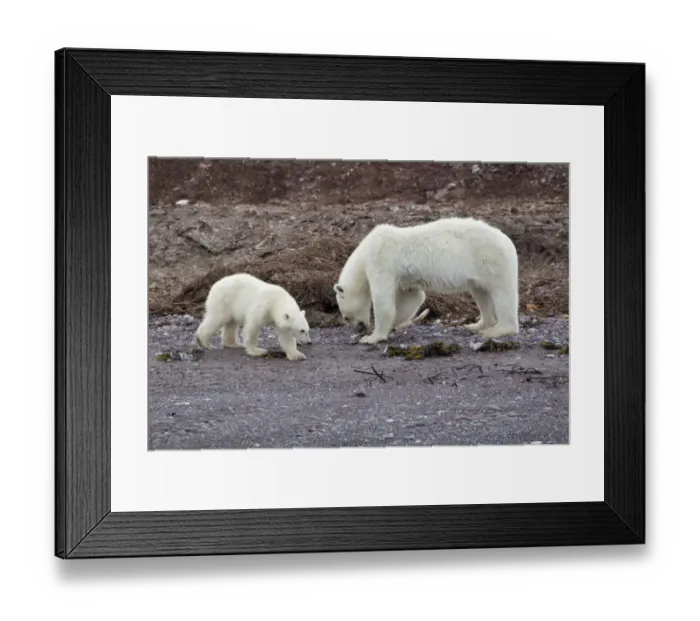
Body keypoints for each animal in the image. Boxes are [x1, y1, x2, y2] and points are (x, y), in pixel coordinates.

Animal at [334, 217, 519, 344]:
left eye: (345, 317)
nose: (359, 328)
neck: (365, 252)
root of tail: (508, 241)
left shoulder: (381, 260)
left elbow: (383, 300)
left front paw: (372, 337)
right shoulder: (405, 278)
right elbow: (413, 297)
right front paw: (396, 324)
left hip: (490, 259)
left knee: (503, 294)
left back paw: (498, 330)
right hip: (480, 269)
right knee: (481, 293)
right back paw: (477, 325)